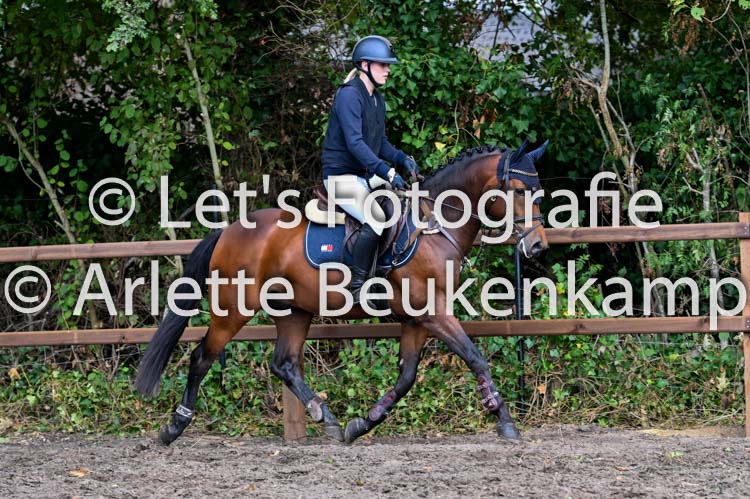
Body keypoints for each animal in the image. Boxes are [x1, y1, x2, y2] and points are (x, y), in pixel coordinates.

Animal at [135, 142, 549, 444]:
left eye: (538, 193)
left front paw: (362, 424)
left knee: (284, 363)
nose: (538, 246)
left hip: (293, 310)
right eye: (517, 191)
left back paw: (328, 419)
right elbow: (475, 358)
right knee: (202, 357)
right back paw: (174, 427)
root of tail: (229, 231)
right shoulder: (433, 312)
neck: (434, 226)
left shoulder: (417, 318)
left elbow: (406, 377)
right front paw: (505, 420)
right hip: (234, 308)